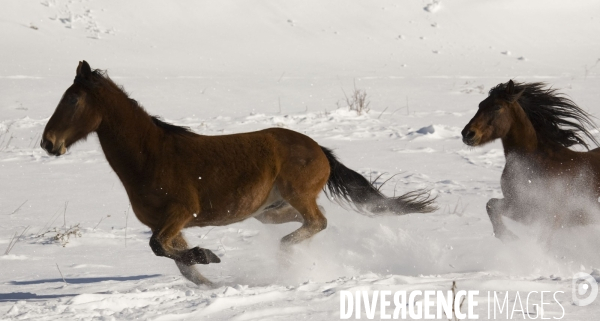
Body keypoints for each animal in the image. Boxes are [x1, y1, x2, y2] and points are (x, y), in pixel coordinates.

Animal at [41, 60, 436, 284]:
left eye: (73, 99)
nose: (48, 142)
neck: (150, 156)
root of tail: (320, 150)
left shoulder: (180, 213)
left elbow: (163, 250)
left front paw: (209, 256)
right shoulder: (168, 225)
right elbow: (178, 262)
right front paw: (213, 279)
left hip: (297, 197)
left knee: (317, 222)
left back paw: (286, 256)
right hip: (269, 211)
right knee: (313, 224)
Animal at [462, 79, 600, 240]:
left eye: (497, 106)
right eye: (480, 105)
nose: (467, 134)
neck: (537, 162)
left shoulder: (551, 216)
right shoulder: (520, 207)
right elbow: (491, 205)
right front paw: (508, 238)